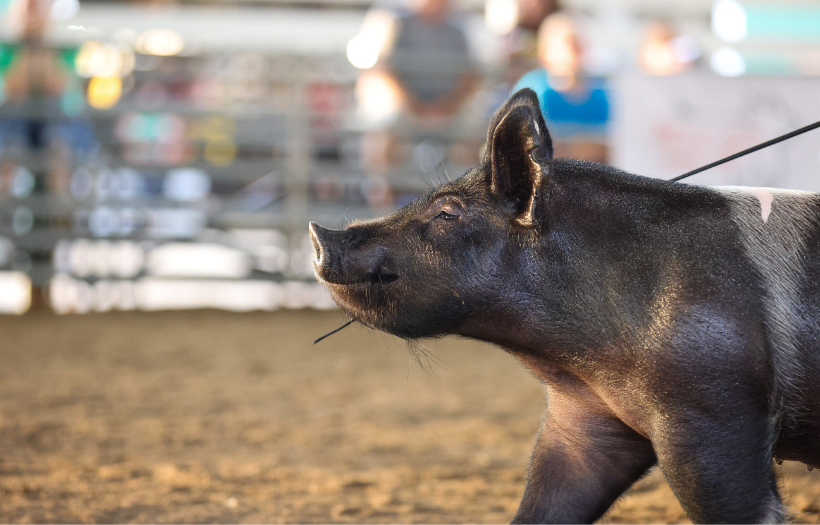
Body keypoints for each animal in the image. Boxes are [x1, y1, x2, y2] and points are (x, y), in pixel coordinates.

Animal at [309, 88, 820, 524]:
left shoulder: (714, 409)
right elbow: (543, 506)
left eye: (448, 212)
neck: (579, 360)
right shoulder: (583, 423)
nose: (319, 233)